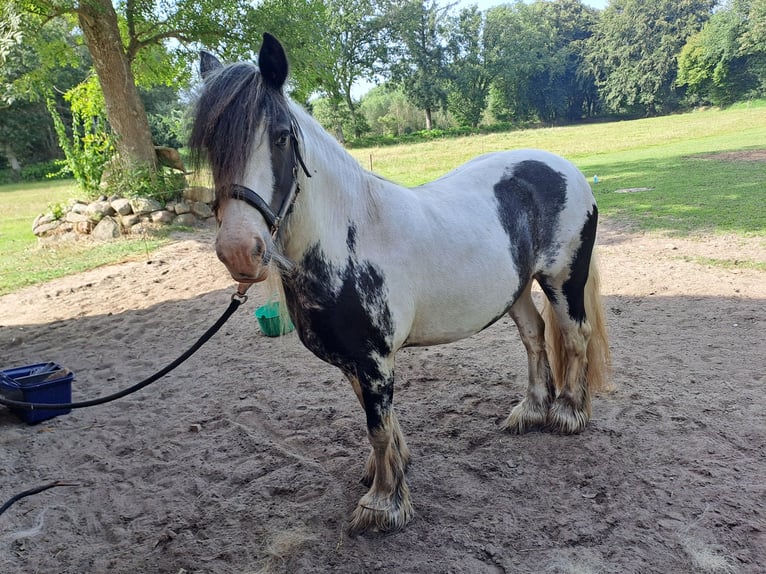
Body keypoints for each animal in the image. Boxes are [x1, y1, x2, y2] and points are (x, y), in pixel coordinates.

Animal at [190, 31, 612, 536]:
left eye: (281, 137)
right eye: (210, 145)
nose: (239, 250)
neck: (348, 238)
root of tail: (564, 167)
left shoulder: (374, 359)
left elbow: (376, 424)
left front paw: (383, 505)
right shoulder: (357, 360)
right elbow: (380, 422)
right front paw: (388, 469)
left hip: (562, 279)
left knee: (574, 335)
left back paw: (568, 413)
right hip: (515, 288)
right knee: (535, 336)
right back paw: (530, 410)